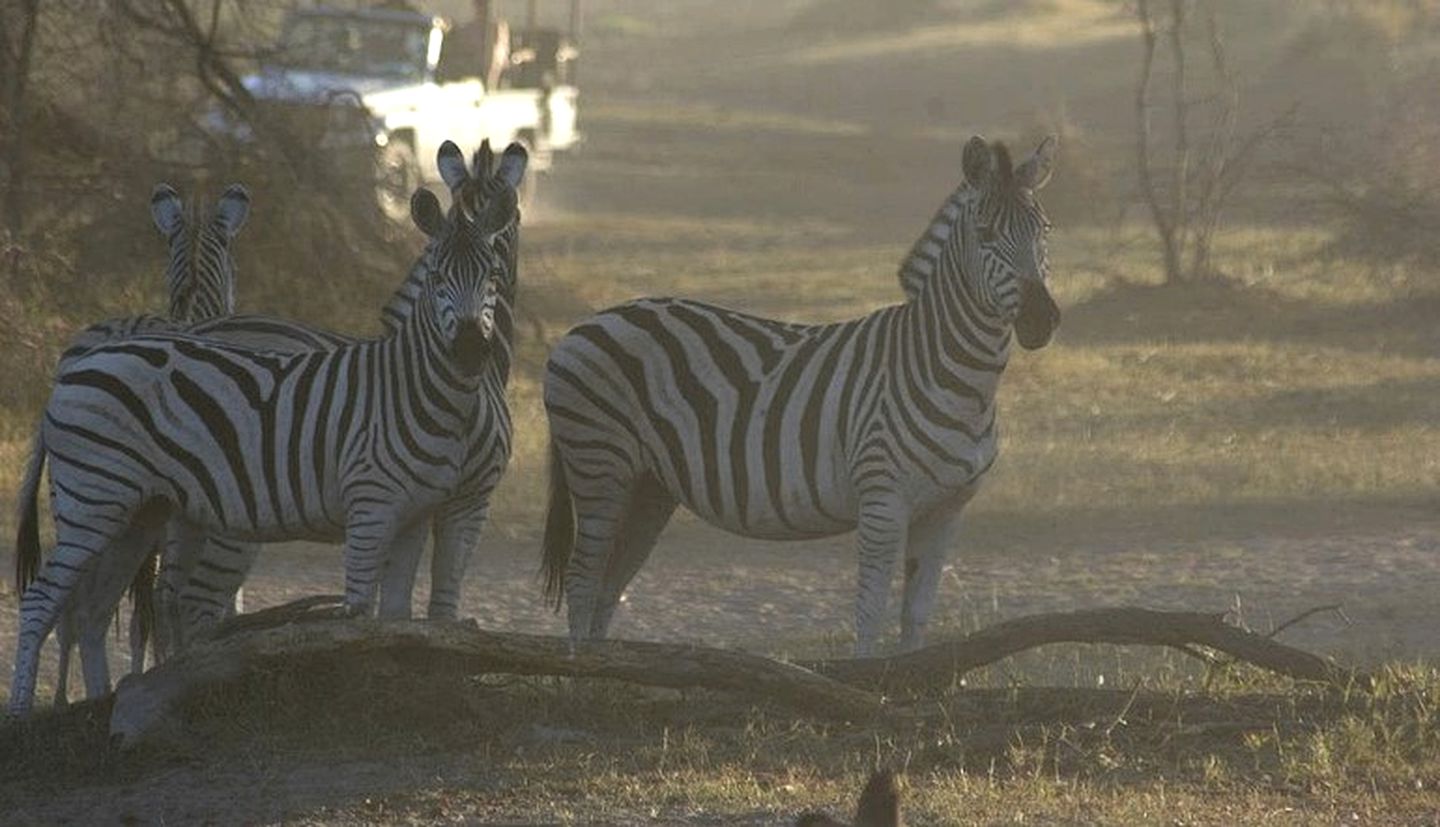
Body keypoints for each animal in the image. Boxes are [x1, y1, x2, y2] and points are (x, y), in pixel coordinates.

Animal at [8, 180, 518, 720]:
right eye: (438, 278)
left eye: (492, 276)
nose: (470, 349)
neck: (424, 390)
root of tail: (67, 373)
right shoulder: (372, 504)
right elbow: (362, 610)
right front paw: (365, 691)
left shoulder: (422, 512)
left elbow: (404, 614)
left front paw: (409, 688)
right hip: (94, 499)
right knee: (43, 599)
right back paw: (23, 714)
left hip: (139, 511)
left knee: (92, 608)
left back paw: (102, 702)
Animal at [541, 134, 1059, 654]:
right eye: (986, 234)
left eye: (1045, 231)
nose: (1042, 320)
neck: (954, 377)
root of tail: (584, 325)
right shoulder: (882, 501)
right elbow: (869, 614)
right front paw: (868, 674)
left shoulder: (947, 510)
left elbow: (915, 617)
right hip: (599, 463)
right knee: (584, 581)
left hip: (648, 485)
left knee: (609, 587)